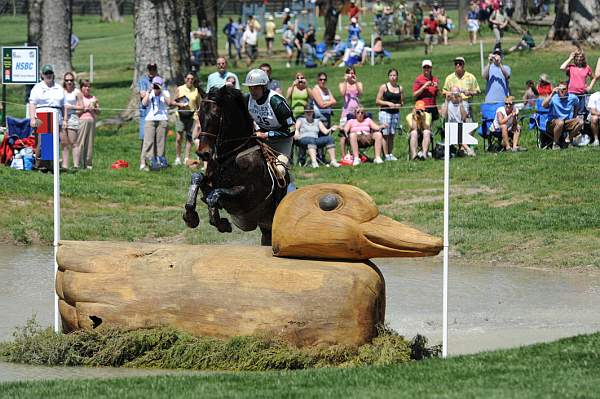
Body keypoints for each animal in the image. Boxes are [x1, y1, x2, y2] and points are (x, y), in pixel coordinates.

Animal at [182, 85, 290, 247]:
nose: (203, 154)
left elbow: (215, 195)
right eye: (199, 116)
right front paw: (190, 217)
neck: (231, 156)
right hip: (266, 231)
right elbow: (198, 179)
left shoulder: (247, 197)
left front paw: (222, 224)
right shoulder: (210, 183)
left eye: (215, 116)